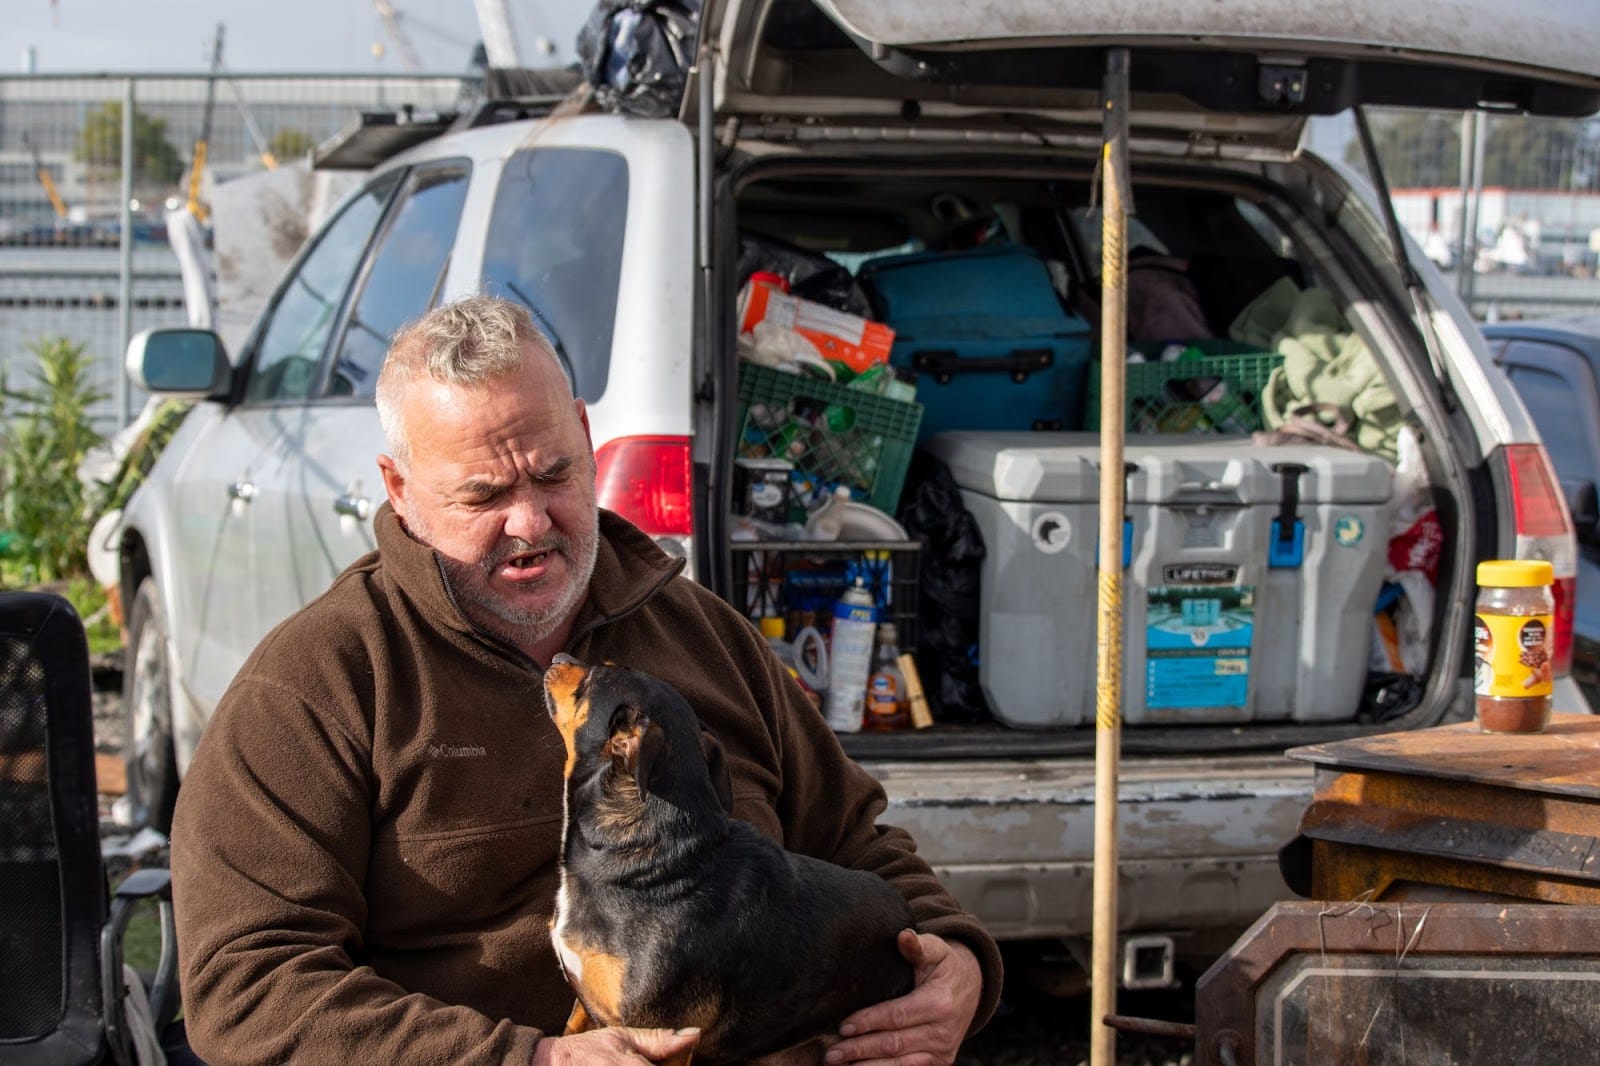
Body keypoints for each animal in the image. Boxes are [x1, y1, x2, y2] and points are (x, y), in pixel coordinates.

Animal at [544, 653, 915, 1056]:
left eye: (596, 675)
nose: (559, 657)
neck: (647, 858)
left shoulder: (660, 1034)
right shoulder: (586, 1006)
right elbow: (569, 1032)